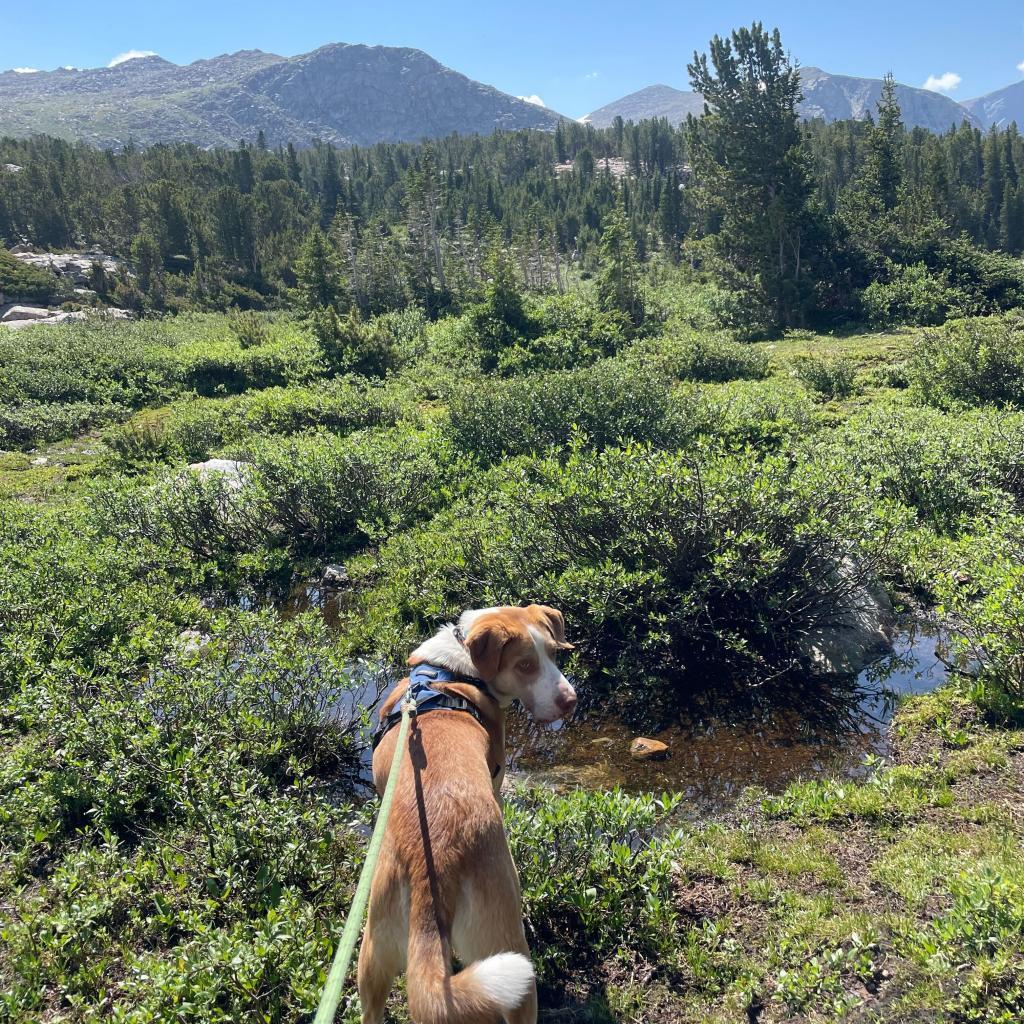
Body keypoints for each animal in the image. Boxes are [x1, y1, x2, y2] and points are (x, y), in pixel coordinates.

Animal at [356, 602, 577, 1019]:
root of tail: (434, 870)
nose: (570, 700)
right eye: (525, 665)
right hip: (508, 948)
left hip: (373, 950)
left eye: (554, 653)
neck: (456, 668)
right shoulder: (497, 779)